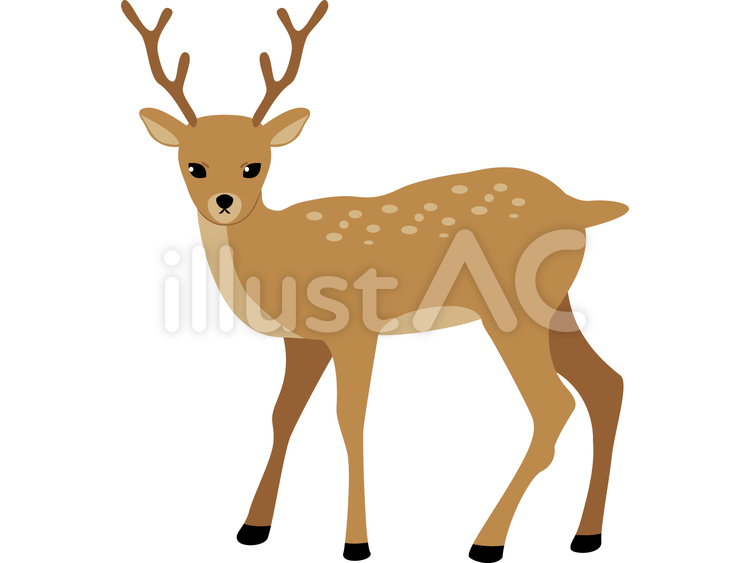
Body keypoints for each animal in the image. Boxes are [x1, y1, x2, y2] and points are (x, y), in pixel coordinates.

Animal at [122, 1, 627, 561]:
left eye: (254, 165)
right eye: (194, 166)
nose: (224, 202)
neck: (275, 255)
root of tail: (581, 206)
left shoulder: (355, 329)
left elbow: (350, 420)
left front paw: (356, 543)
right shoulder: (304, 342)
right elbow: (282, 415)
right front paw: (253, 528)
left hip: (511, 308)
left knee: (554, 405)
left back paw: (486, 542)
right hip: (554, 301)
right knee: (606, 384)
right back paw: (585, 536)